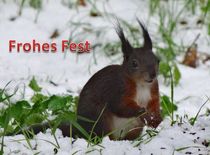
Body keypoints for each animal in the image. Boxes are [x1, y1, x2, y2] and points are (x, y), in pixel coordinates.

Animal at [10, 19, 162, 140]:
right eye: (134, 63)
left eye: (157, 60)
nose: (152, 75)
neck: (141, 85)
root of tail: (82, 129)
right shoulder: (117, 88)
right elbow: (119, 106)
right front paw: (140, 111)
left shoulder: (153, 92)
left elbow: (154, 105)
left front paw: (156, 119)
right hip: (100, 120)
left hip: (133, 129)